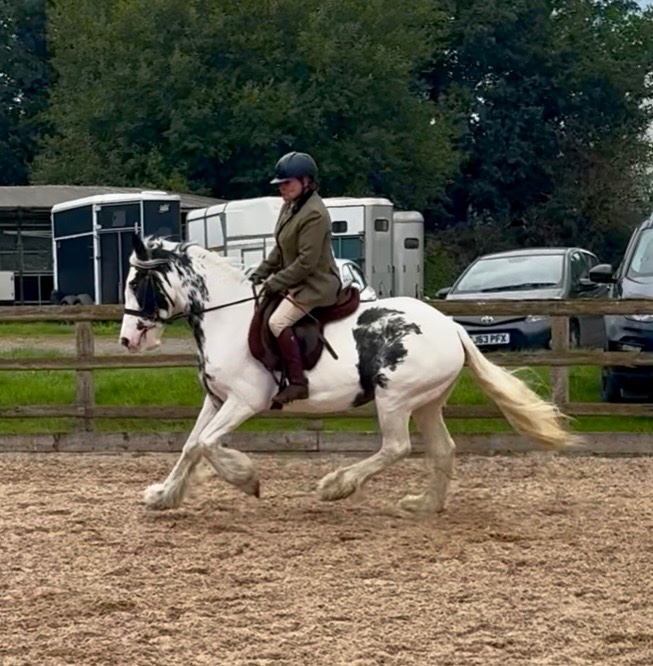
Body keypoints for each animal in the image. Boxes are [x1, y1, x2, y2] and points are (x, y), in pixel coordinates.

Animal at [119, 235, 578, 514]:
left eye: (138, 283)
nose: (127, 339)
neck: (227, 318)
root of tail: (453, 327)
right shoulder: (215, 399)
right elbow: (192, 446)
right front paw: (162, 495)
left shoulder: (244, 401)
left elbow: (208, 444)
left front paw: (247, 479)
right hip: (427, 402)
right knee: (442, 449)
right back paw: (423, 505)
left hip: (395, 398)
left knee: (397, 447)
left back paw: (336, 485)